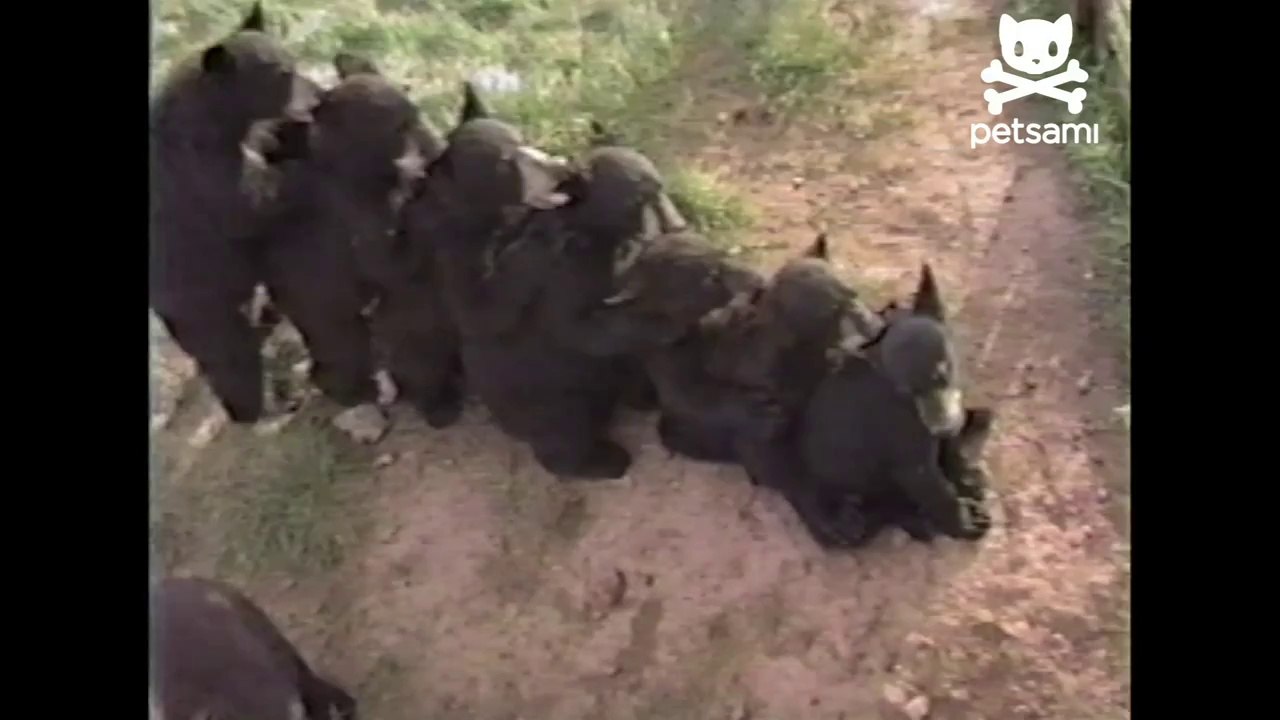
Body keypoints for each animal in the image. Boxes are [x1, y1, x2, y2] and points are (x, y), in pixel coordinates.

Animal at [149, 2, 319, 424]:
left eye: (292, 59)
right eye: (282, 73)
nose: (313, 101)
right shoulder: (197, 163)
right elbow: (245, 204)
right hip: (202, 296)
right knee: (232, 359)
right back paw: (260, 408)